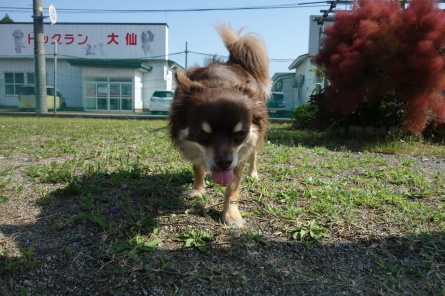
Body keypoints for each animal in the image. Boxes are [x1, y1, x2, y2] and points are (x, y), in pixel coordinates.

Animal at [167, 24, 268, 228]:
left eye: (241, 133)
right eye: (200, 133)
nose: (224, 162)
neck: (218, 83)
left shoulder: (239, 154)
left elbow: (232, 186)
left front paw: (231, 213)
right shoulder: (195, 146)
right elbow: (198, 167)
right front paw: (197, 190)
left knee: (254, 154)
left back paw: (253, 173)